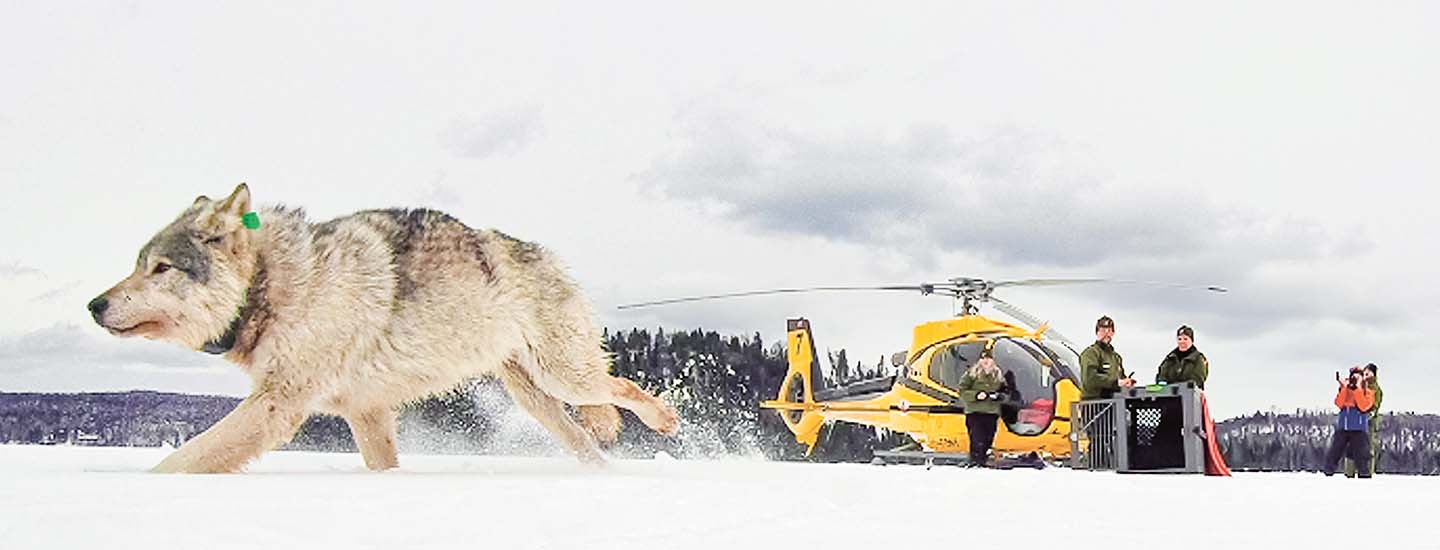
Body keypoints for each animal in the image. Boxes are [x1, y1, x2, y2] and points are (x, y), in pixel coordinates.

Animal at [87, 183, 676, 472]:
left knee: (622, 387)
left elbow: (179, 461)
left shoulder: (277, 406)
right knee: (587, 440)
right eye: (138, 263)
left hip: (565, 378)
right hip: (536, 399)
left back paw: (666, 420)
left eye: (161, 268)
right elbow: (383, 467)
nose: (94, 304)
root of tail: (544, 252)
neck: (275, 285)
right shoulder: (366, 412)